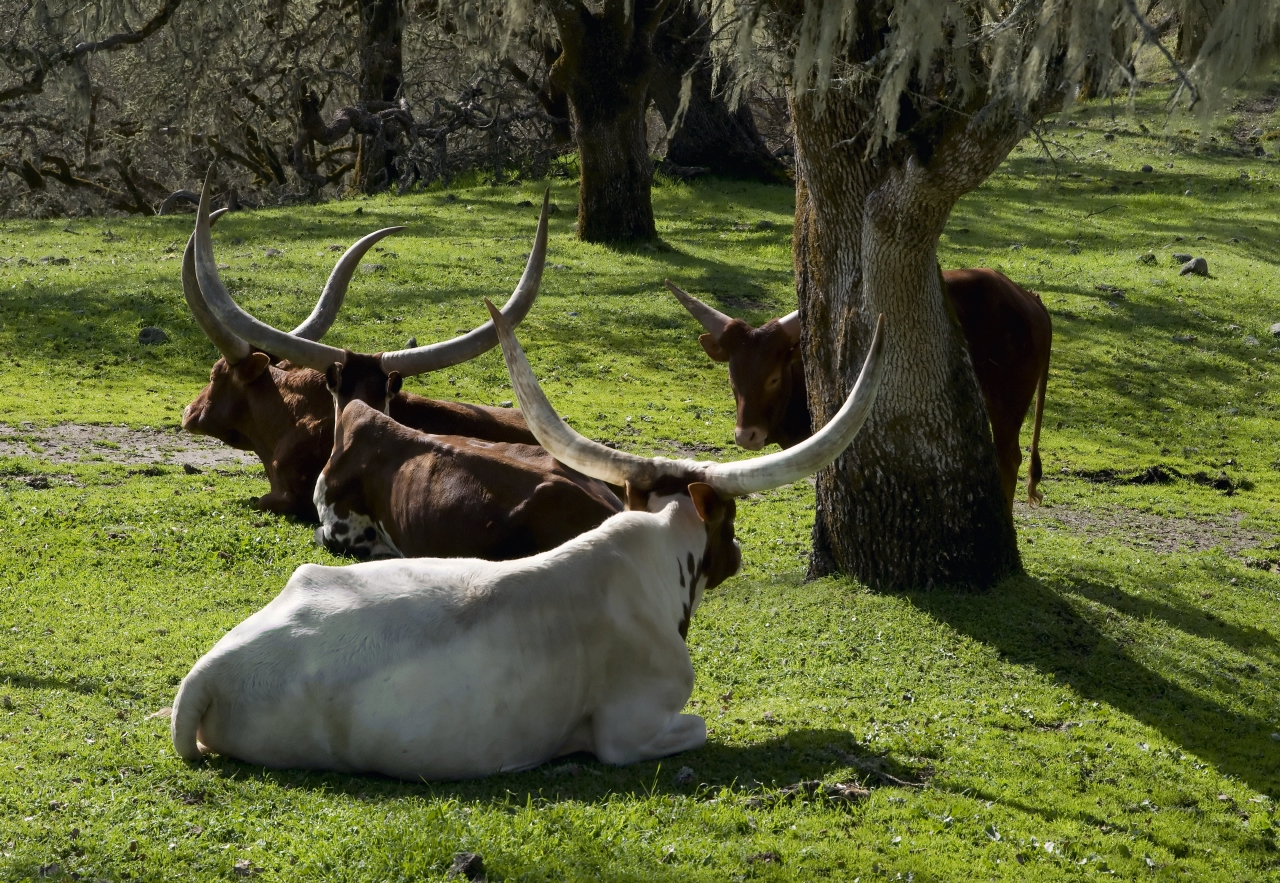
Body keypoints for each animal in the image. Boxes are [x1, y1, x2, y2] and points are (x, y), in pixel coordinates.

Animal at [670, 266, 1049, 509]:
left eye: (773, 377)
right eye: (733, 375)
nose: (745, 436)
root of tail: (1029, 299)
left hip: (1008, 403)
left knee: (1009, 456)